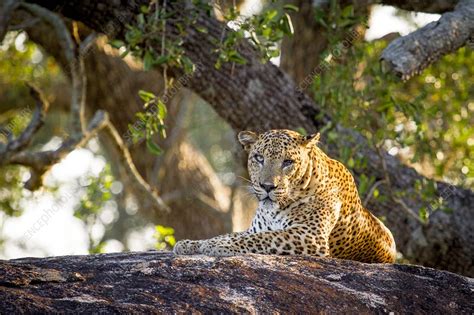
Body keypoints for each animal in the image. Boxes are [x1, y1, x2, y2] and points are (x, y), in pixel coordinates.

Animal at [174, 129, 396, 264]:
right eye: (259, 158)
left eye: (288, 162)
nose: (267, 186)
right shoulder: (255, 228)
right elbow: (233, 234)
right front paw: (191, 244)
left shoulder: (310, 235)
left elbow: (262, 239)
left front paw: (216, 245)